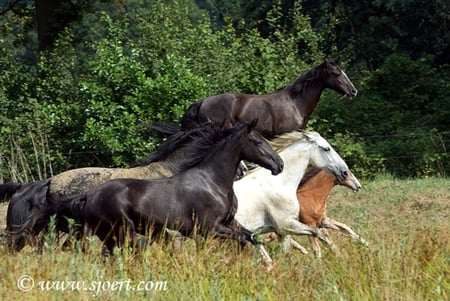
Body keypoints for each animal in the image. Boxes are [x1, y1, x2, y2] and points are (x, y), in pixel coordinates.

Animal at [48, 120, 282, 264]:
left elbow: (251, 237)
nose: (279, 165)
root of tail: (89, 195)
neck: (211, 181)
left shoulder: (228, 223)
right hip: (122, 232)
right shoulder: (210, 228)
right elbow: (241, 240)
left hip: (106, 234)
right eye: (257, 141)